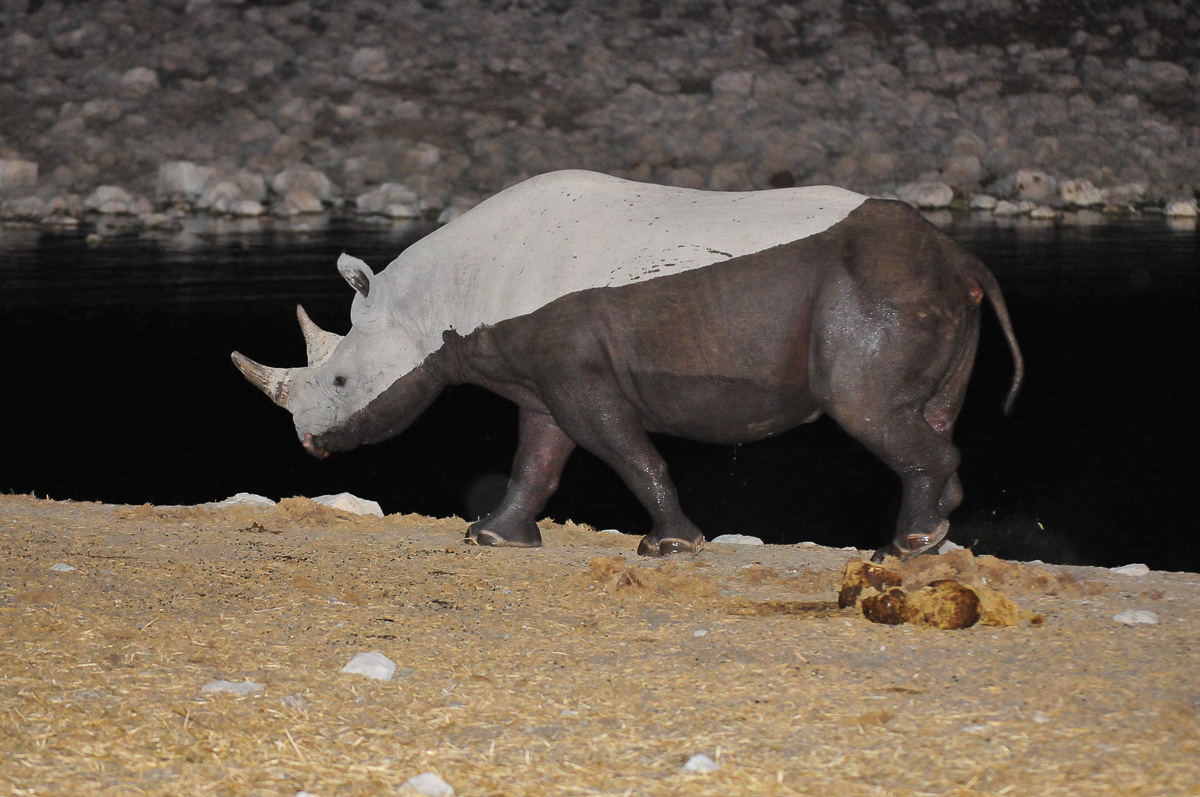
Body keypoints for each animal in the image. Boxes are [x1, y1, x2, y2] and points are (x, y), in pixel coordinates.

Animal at [232, 170, 1023, 560]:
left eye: (340, 381)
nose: (309, 443)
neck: (433, 303)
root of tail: (959, 255)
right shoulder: (541, 380)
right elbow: (536, 460)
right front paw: (491, 537)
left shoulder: (575, 369)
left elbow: (627, 452)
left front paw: (669, 546)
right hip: (918, 287)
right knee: (925, 411)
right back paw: (927, 541)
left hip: (873, 290)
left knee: (864, 406)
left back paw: (907, 547)